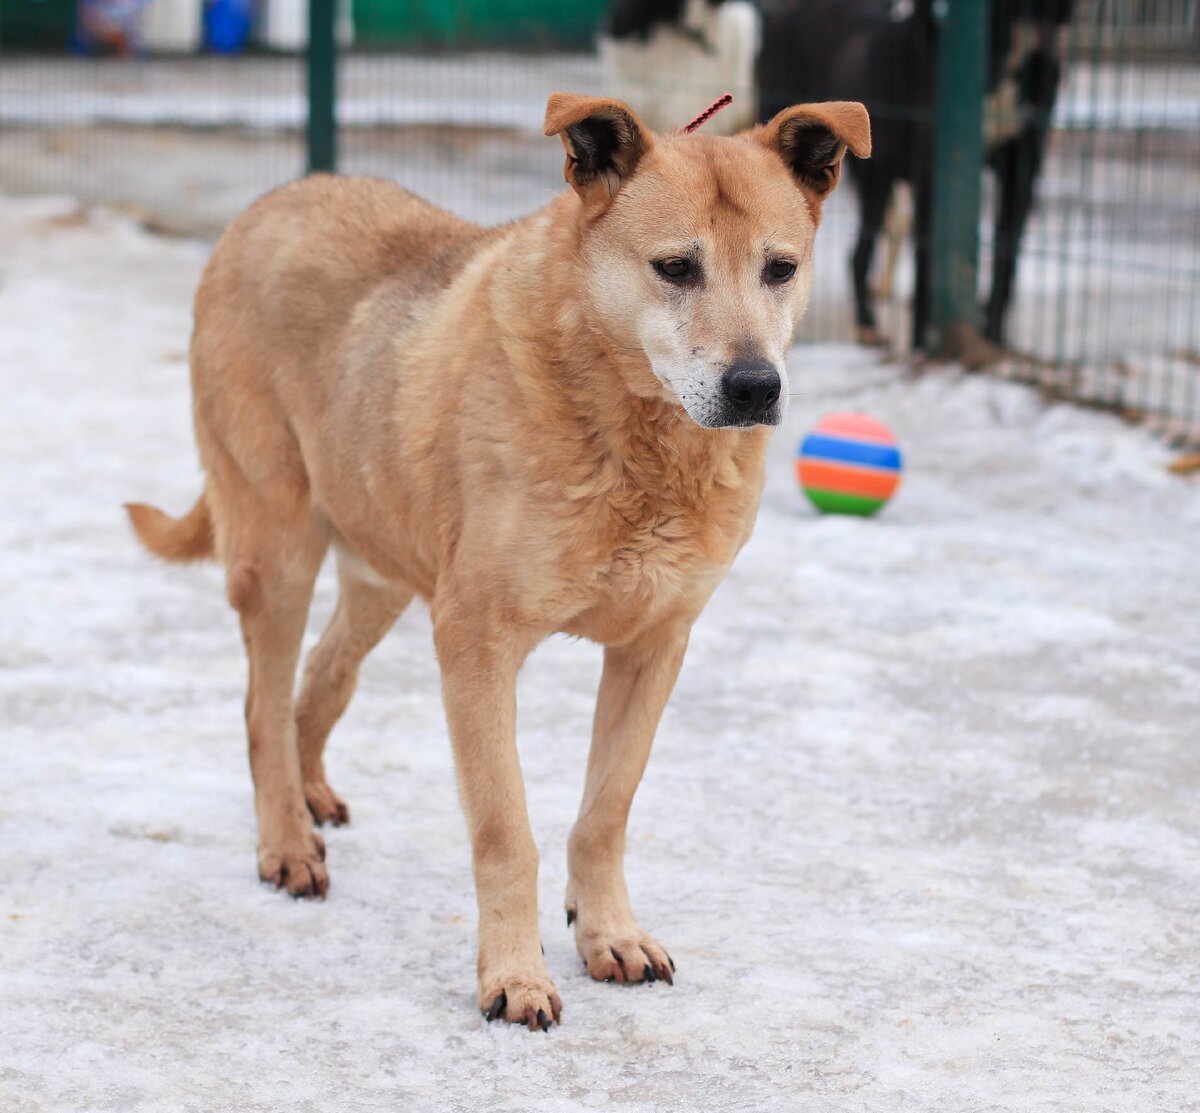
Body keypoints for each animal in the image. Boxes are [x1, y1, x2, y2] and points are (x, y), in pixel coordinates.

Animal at [126, 91, 868, 1031]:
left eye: (781, 268)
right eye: (675, 267)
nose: (755, 388)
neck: (633, 433)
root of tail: (271, 202)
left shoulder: (655, 644)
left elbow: (606, 809)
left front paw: (609, 932)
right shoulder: (476, 643)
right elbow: (504, 829)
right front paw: (515, 977)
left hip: (382, 568)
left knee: (320, 681)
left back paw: (309, 790)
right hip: (279, 551)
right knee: (263, 705)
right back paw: (286, 840)